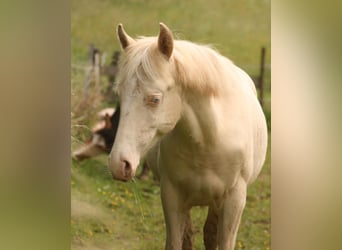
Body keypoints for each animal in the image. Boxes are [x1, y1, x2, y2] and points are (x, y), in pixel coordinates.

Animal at [108, 22, 268, 249]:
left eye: (155, 99)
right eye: (120, 95)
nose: (119, 164)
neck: (208, 141)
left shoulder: (234, 200)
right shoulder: (171, 196)